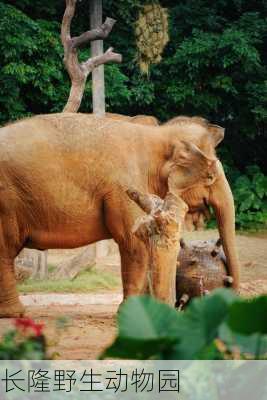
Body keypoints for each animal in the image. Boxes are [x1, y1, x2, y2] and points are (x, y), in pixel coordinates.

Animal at [0, 114, 240, 318]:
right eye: (211, 177)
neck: (158, 135)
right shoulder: (125, 187)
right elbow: (134, 244)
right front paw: (128, 313)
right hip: (6, 201)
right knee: (5, 249)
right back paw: (15, 313)